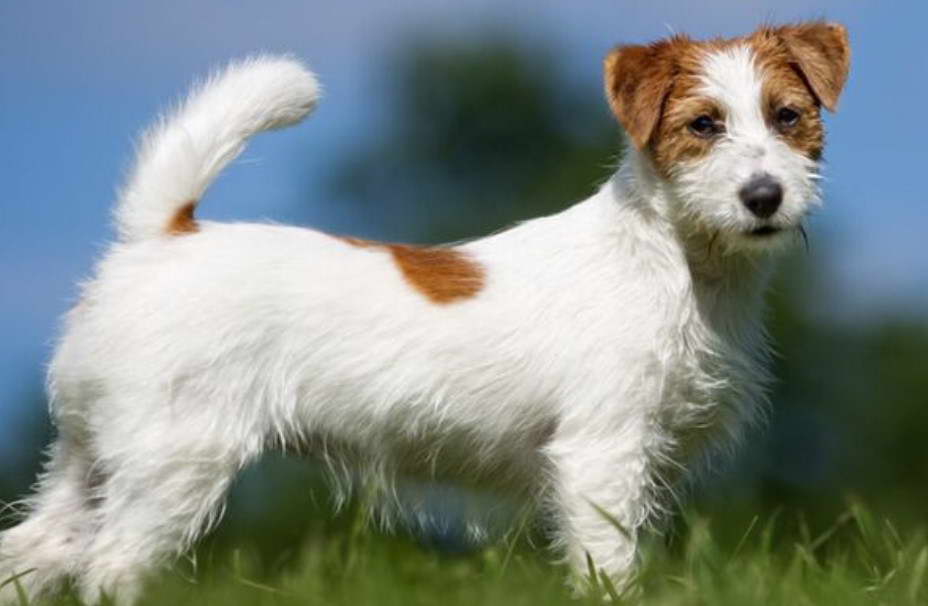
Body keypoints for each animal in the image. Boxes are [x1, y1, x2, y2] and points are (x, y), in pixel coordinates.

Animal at [0, 21, 848, 604]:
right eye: (703, 125)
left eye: (788, 116)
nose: (764, 197)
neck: (677, 260)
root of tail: (158, 236)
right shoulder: (603, 455)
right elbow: (607, 565)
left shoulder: (649, 461)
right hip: (173, 461)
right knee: (109, 566)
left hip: (92, 458)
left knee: (30, 552)